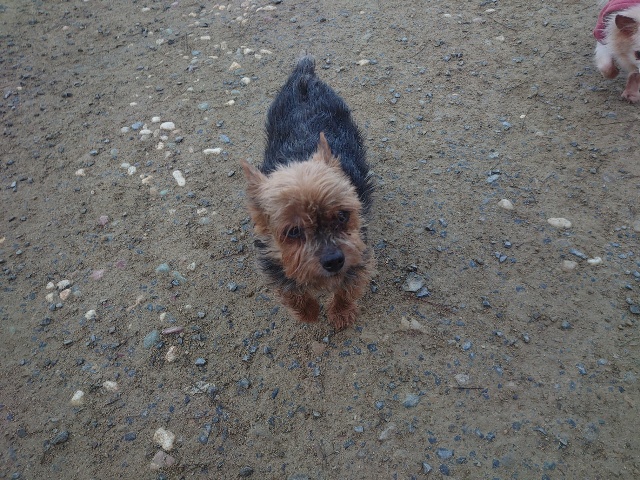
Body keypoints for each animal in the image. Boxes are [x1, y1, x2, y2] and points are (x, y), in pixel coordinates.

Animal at [241, 56, 374, 330]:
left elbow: (347, 288)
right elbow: (292, 292)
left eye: (343, 215)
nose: (334, 260)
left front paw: (341, 313)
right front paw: (309, 313)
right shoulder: (273, 263)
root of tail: (304, 76)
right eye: (293, 231)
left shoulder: (359, 252)